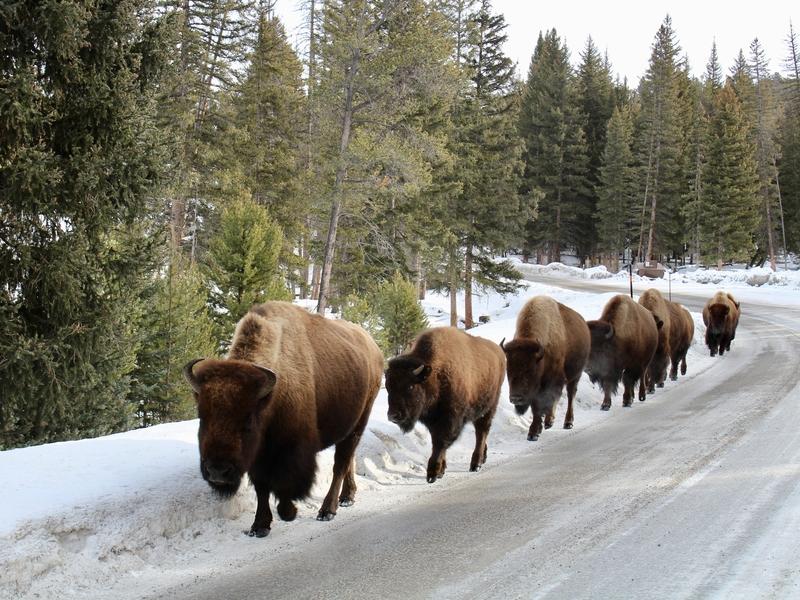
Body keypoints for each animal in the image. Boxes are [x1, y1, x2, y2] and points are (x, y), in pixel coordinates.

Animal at [183, 302, 382, 536]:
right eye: (201, 416)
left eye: (248, 420)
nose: (217, 471)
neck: (271, 397)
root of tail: (373, 347)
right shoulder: (258, 455)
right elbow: (261, 487)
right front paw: (259, 526)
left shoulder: (292, 450)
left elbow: (286, 483)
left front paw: (288, 513)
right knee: (349, 459)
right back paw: (347, 497)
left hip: (359, 422)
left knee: (340, 464)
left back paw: (327, 510)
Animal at [384, 326, 504, 486]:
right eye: (388, 387)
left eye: (410, 386)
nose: (393, 416)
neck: (435, 374)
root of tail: (499, 352)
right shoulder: (433, 421)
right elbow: (438, 443)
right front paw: (441, 470)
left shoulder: (449, 419)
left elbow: (440, 443)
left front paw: (433, 474)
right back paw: (482, 458)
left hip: (489, 408)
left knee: (481, 432)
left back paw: (475, 464)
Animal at [504, 296, 592, 440]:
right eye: (508, 370)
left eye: (530, 370)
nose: (516, 398)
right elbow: (536, 406)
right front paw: (535, 431)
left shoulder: (552, 380)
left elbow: (545, 401)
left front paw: (537, 430)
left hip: (575, 376)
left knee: (570, 395)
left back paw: (567, 422)